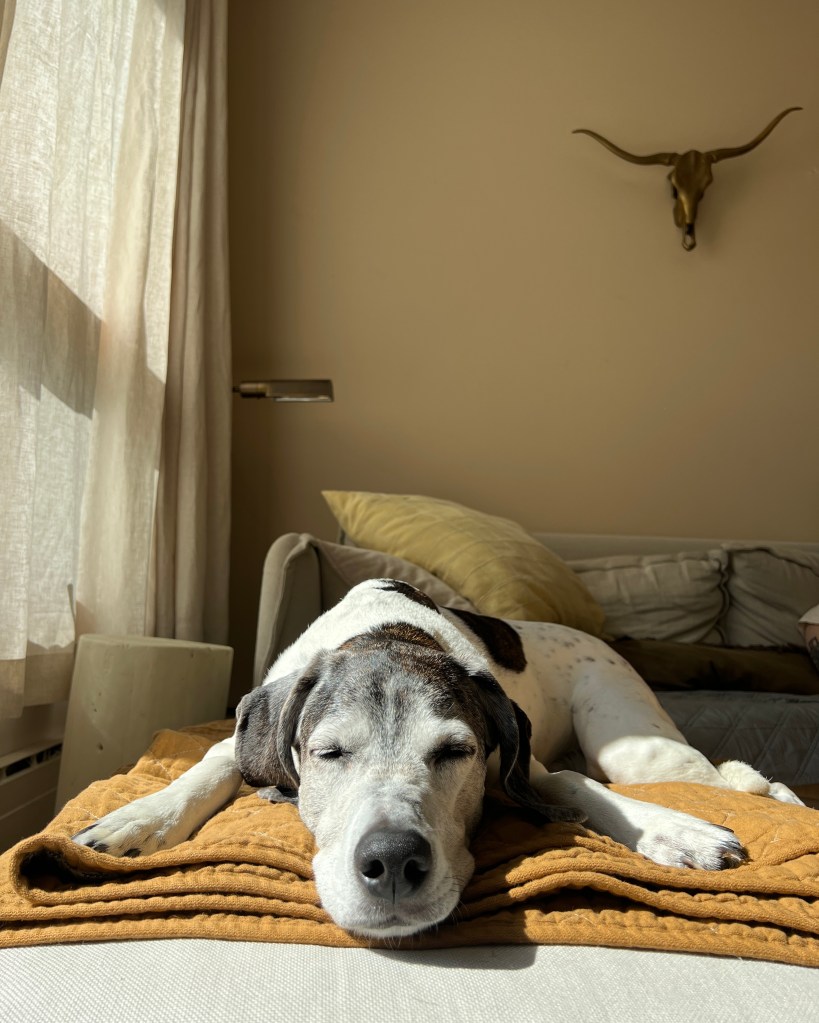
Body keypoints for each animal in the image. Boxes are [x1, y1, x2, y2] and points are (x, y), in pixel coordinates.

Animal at [73, 578, 803, 939]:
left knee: (732, 779)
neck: (388, 634)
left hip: (639, 749)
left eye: (457, 751)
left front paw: (675, 830)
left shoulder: (524, 767)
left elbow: (573, 784)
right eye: (328, 752)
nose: (393, 862)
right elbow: (212, 761)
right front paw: (139, 819)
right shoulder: (250, 729)